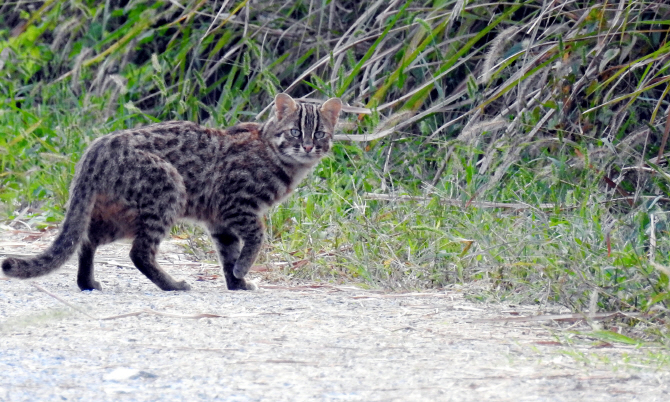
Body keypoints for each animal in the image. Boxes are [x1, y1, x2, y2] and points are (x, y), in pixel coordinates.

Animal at [2, 94, 344, 292]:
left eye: (320, 133)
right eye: (296, 132)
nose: (309, 146)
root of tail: (99, 145)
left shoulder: (220, 222)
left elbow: (228, 252)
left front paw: (236, 282)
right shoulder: (237, 205)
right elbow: (256, 238)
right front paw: (242, 271)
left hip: (117, 213)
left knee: (86, 241)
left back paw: (87, 282)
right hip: (167, 194)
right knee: (138, 253)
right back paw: (172, 285)